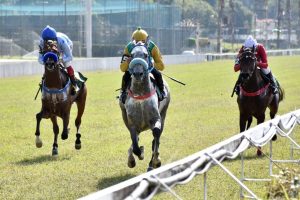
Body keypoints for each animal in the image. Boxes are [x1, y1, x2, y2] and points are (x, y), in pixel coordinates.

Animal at [120, 41, 171, 170]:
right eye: (131, 55)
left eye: (146, 55)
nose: (138, 73)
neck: (141, 94)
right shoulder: (132, 123)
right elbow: (135, 144)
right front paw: (136, 156)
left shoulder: (156, 118)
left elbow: (156, 133)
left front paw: (156, 161)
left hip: (164, 113)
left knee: (157, 136)